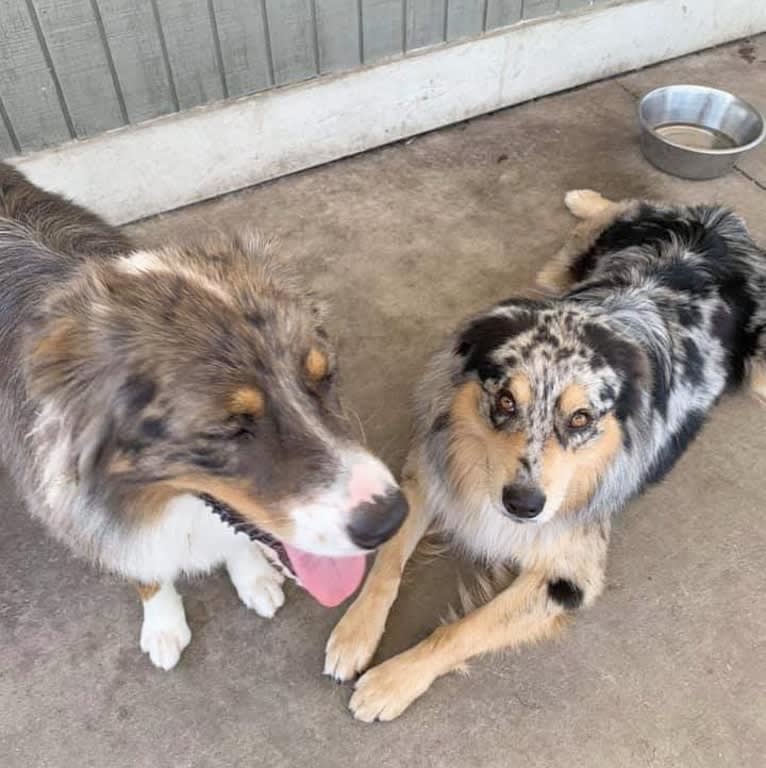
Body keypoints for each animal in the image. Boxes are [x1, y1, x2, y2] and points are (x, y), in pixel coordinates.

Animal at [324, 188, 766, 720]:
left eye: (580, 419)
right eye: (505, 401)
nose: (524, 505)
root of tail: (722, 220)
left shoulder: (569, 574)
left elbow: (463, 628)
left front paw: (391, 681)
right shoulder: (431, 469)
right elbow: (388, 561)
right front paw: (354, 633)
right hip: (562, 271)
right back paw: (586, 198)